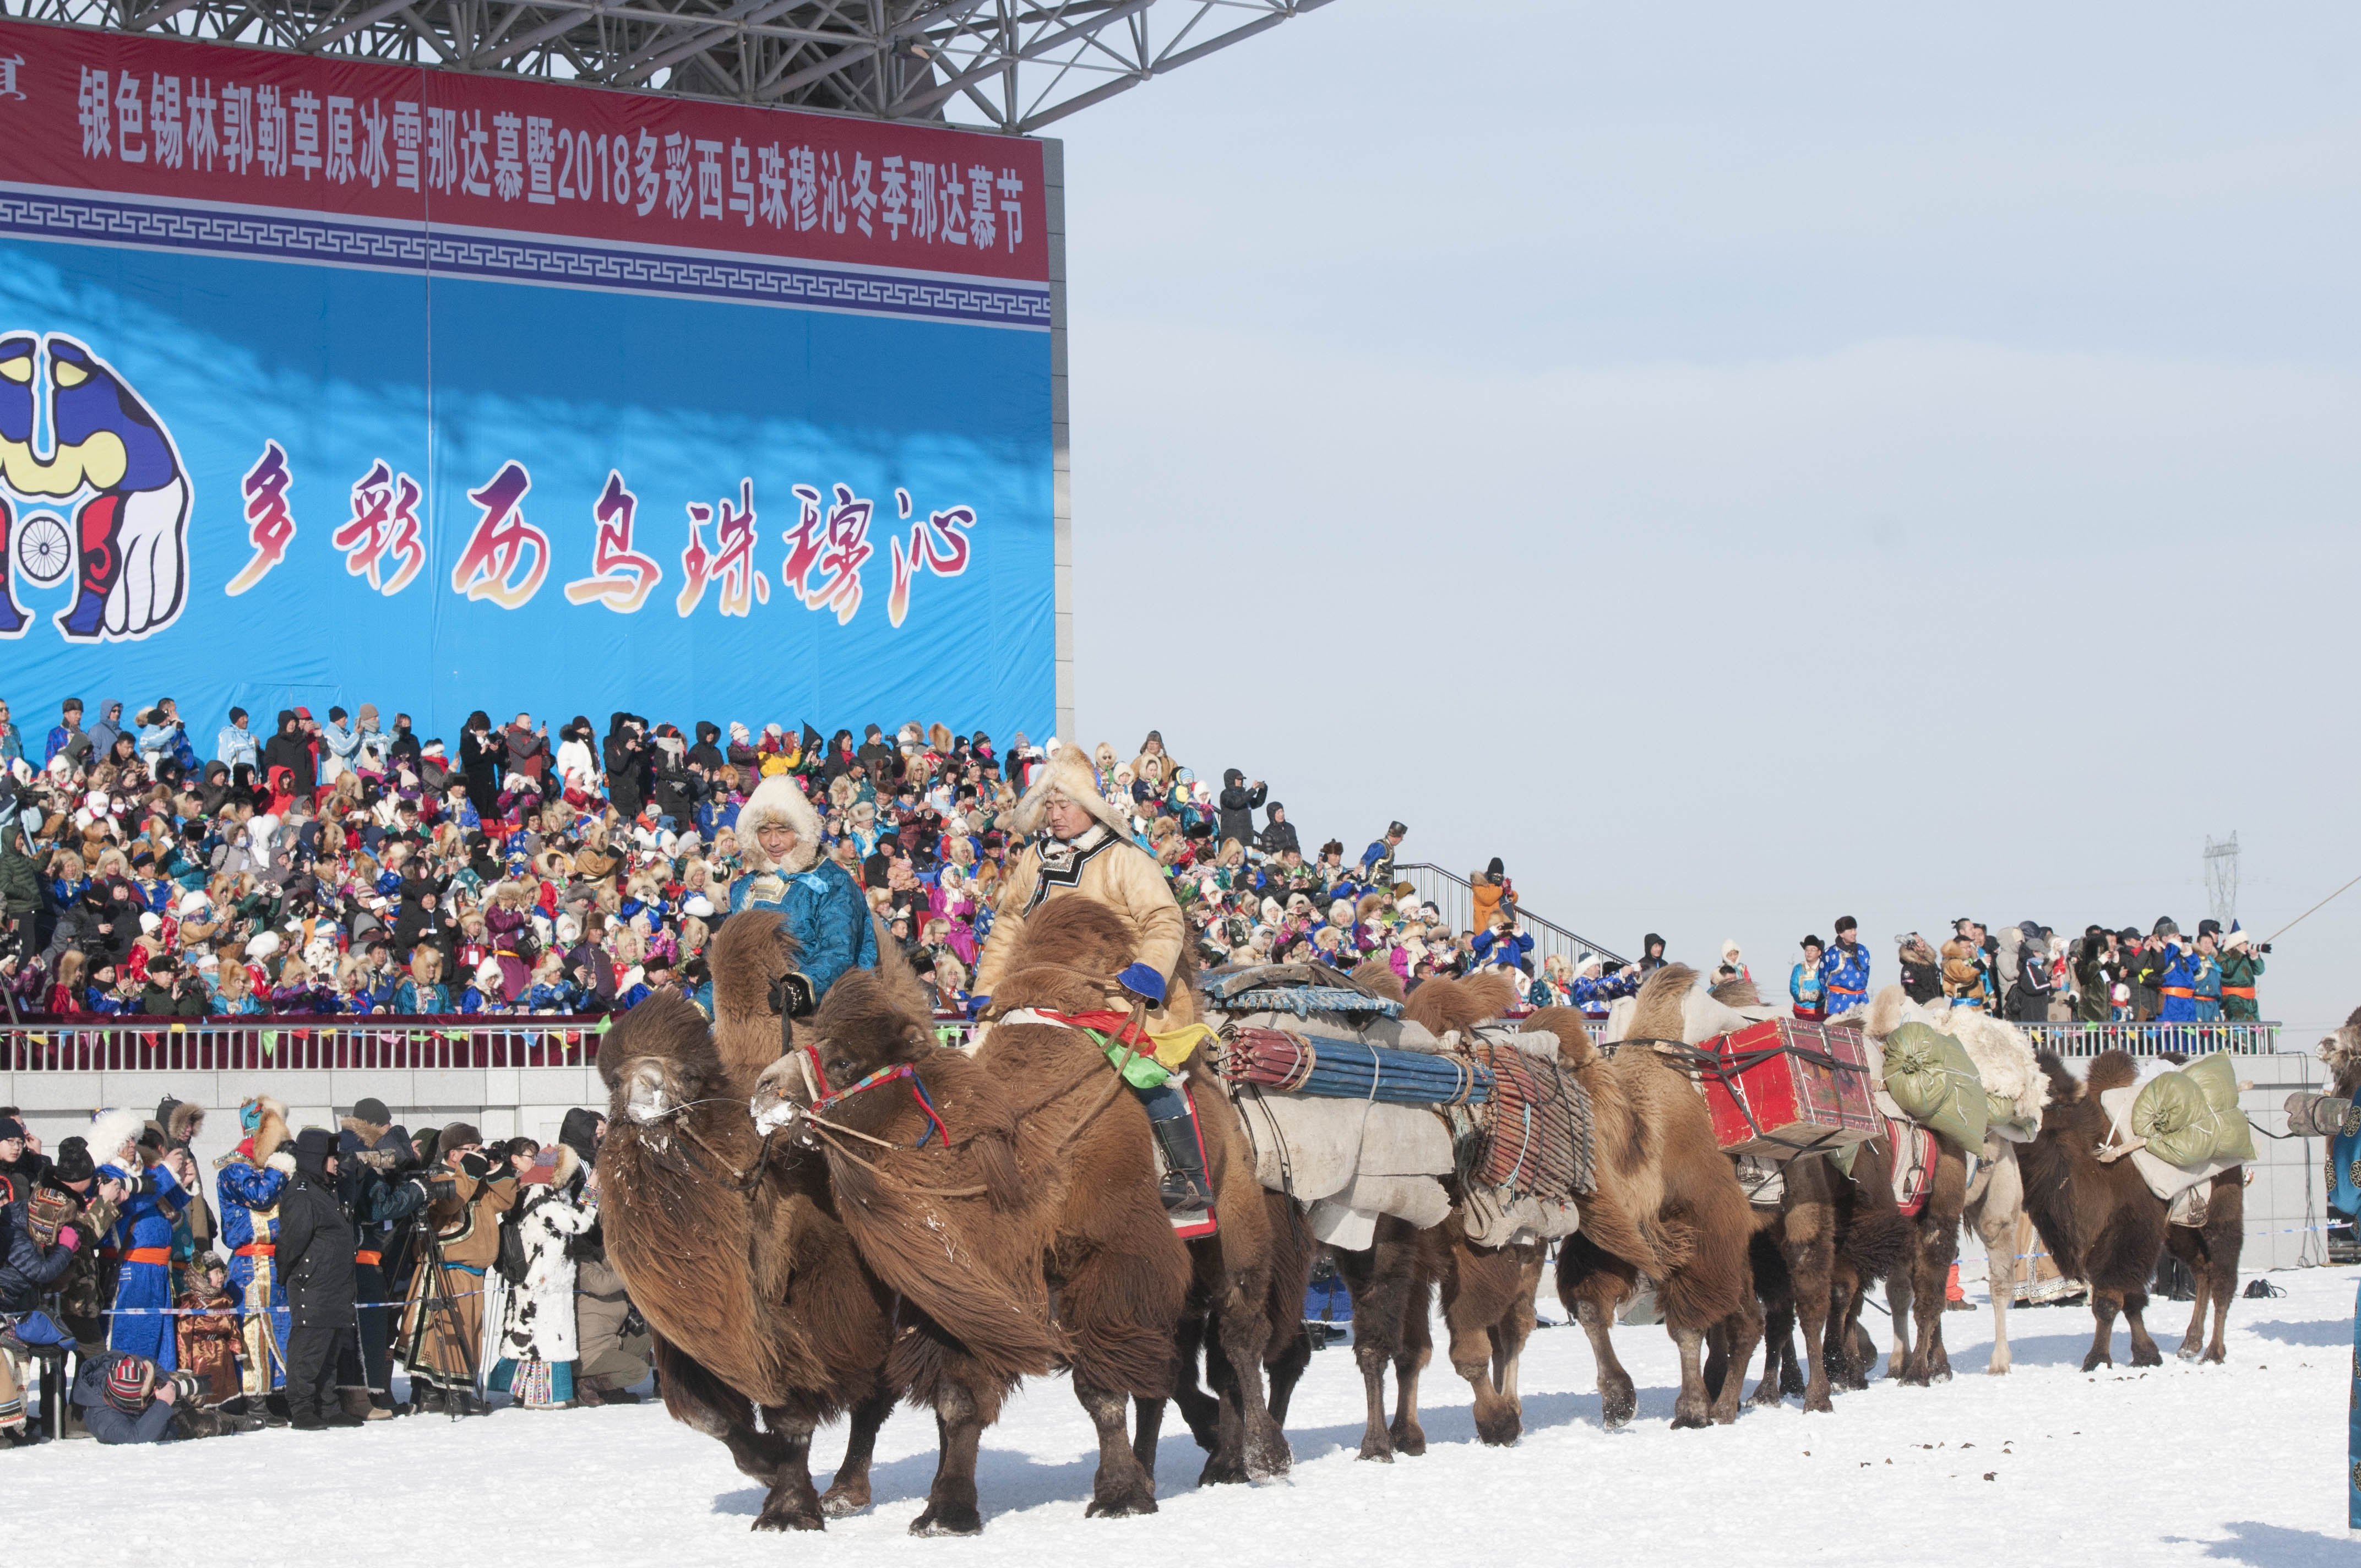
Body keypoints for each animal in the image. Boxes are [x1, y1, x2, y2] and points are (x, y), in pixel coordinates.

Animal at [2011, 1048, 2248, 1369]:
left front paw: (2098, 1360)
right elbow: (2131, 1301)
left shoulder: (2129, 1235)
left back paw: (2213, 1353)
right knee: (2203, 1270)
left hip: (2222, 1213)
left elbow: (2109, 1300)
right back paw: (2190, 1344)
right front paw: (2147, 1355)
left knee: (2224, 1277)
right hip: (2180, 1229)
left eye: (2043, 1091)